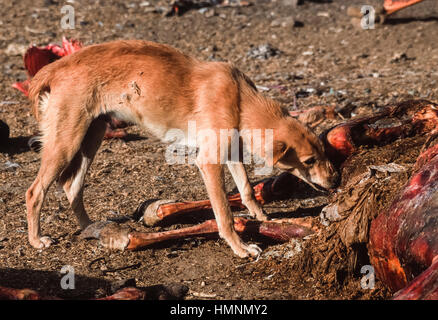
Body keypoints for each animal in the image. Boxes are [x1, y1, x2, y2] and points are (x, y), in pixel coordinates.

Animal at [25, 40, 338, 258]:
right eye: (309, 160)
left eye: (323, 151)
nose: (335, 180)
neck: (240, 98)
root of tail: (53, 69)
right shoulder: (209, 162)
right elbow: (224, 214)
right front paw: (240, 248)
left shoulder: (231, 152)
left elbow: (247, 190)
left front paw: (261, 217)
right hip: (66, 144)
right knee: (35, 192)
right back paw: (36, 240)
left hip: (91, 139)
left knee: (71, 187)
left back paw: (90, 228)